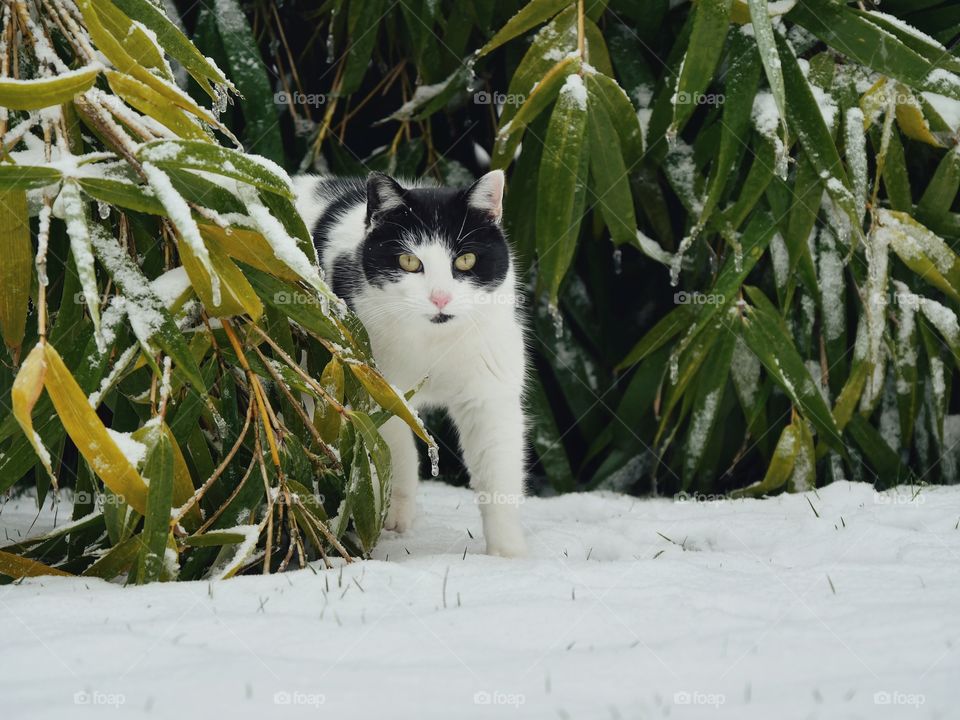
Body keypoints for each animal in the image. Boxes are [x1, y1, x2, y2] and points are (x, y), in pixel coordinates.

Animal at [294, 169, 528, 556]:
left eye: (465, 261)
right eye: (408, 262)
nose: (440, 298)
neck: (433, 344)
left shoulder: (489, 395)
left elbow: (499, 472)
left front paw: (507, 554)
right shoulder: (374, 384)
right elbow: (394, 446)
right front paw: (393, 515)